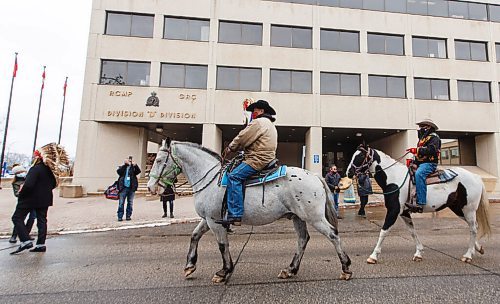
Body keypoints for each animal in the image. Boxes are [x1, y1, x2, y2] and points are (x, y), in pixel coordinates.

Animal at [146, 140, 354, 282]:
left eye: (159, 160)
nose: (150, 187)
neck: (211, 179)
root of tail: (316, 176)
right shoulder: (209, 219)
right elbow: (195, 235)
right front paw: (190, 266)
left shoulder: (214, 221)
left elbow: (222, 245)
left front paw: (224, 271)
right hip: (298, 217)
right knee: (303, 239)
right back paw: (290, 270)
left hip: (314, 217)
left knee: (333, 235)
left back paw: (345, 268)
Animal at [348, 147, 492, 264]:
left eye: (360, 156)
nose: (348, 172)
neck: (394, 178)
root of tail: (476, 177)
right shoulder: (404, 212)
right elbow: (412, 232)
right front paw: (418, 253)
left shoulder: (394, 210)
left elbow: (384, 231)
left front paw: (373, 256)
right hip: (458, 209)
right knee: (474, 226)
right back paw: (477, 249)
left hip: (469, 209)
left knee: (473, 228)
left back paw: (468, 256)